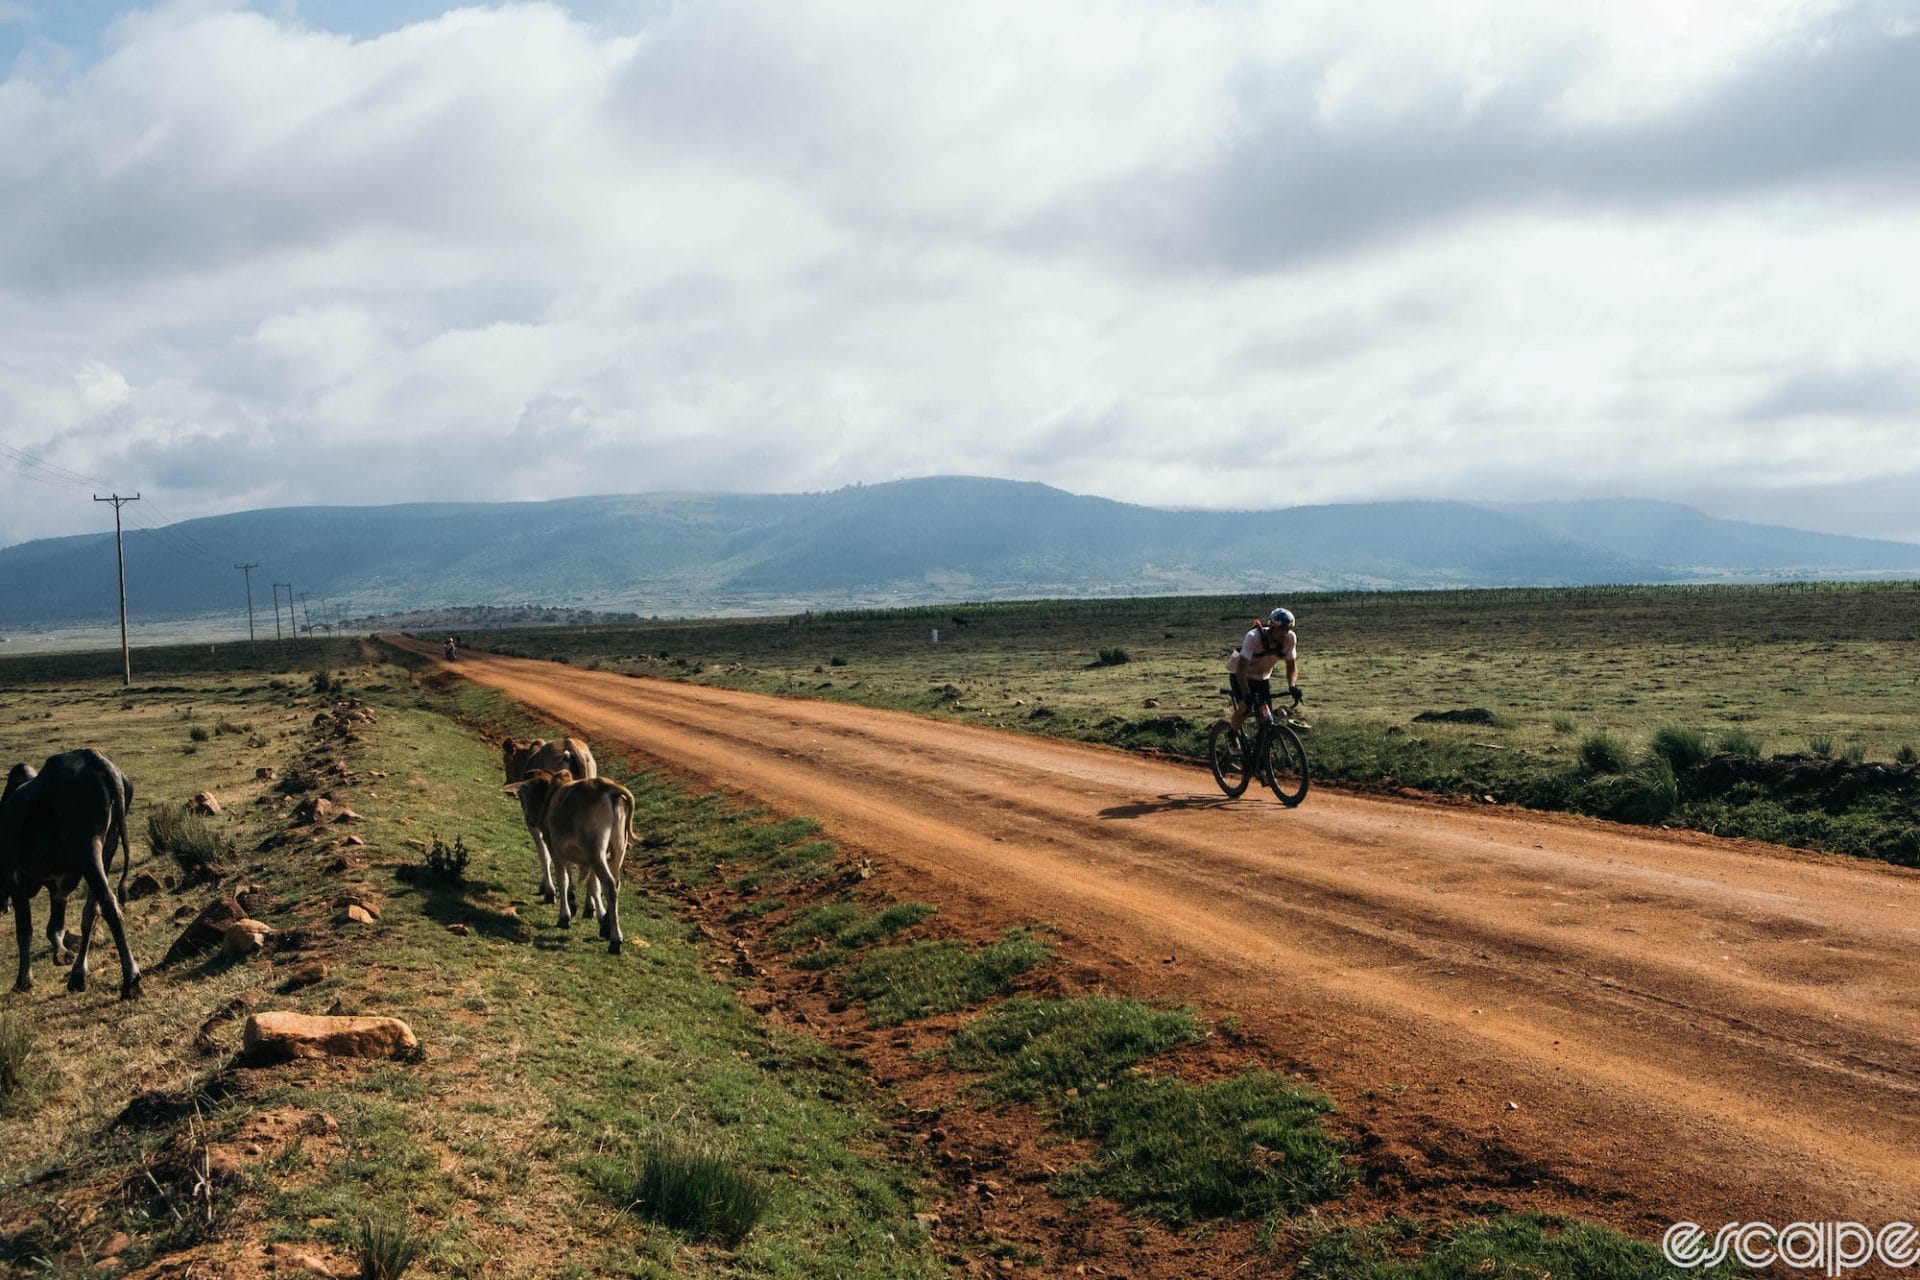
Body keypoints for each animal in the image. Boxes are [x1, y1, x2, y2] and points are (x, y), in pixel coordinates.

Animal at [0, 752, 142, 997]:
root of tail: (99, 762)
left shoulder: (15, 878)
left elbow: (25, 931)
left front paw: (23, 979)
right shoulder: (60, 888)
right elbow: (55, 927)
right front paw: (62, 954)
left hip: (88, 848)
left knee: (108, 904)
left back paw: (130, 978)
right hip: (107, 849)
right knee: (91, 911)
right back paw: (78, 975)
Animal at [503, 736, 599, 905]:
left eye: (505, 760)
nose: (507, 785)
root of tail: (572, 747)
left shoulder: (533, 820)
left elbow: (544, 853)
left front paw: (548, 889)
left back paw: (570, 893)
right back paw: (589, 904)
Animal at [503, 767, 637, 955]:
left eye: (522, 793)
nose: (530, 819)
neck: (550, 795)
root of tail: (609, 788)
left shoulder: (556, 849)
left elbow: (563, 878)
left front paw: (564, 915)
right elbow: (591, 885)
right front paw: (597, 917)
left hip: (595, 852)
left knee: (609, 885)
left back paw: (615, 940)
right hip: (617, 849)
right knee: (615, 883)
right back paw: (609, 927)